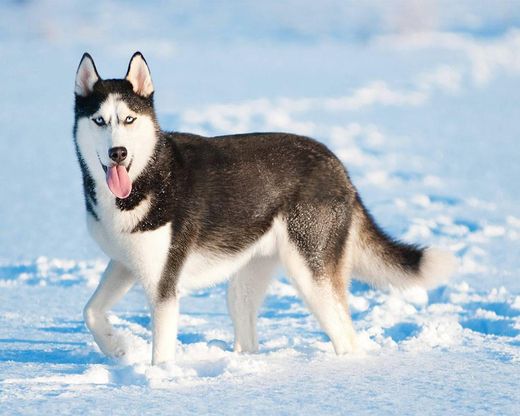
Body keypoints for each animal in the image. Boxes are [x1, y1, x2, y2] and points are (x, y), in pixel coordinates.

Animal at [73, 51, 456, 364]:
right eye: (99, 121)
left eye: (129, 120)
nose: (118, 152)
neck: (147, 176)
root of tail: (336, 164)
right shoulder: (125, 264)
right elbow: (90, 311)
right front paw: (118, 347)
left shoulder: (164, 287)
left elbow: (161, 355)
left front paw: (156, 379)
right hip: (245, 282)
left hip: (310, 275)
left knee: (346, 337)